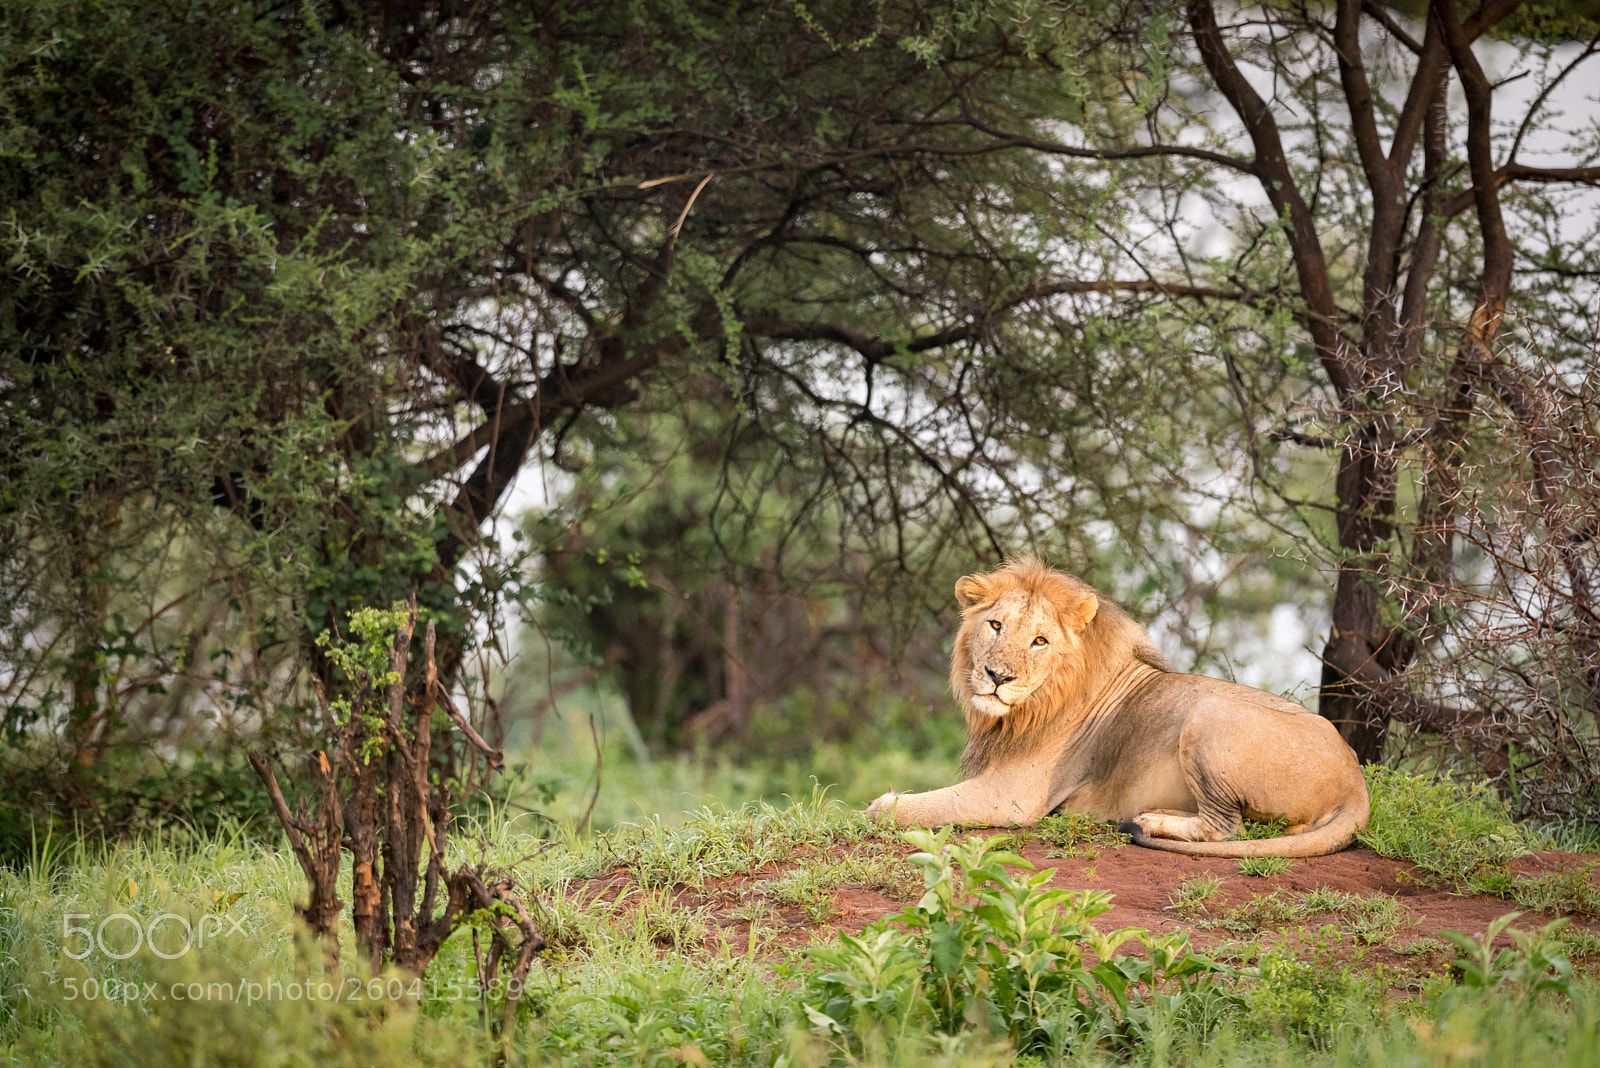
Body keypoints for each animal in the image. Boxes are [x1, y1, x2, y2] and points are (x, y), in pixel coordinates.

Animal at [865, 558, 1369, 857]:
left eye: (1040, 641)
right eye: (995, 625)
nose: (997, 677)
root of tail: (1356, 781)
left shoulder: (1012, 797)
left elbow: (896, 808)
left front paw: (879, 805)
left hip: (1208, 714)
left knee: (1227, 829)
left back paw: (1150, 821)